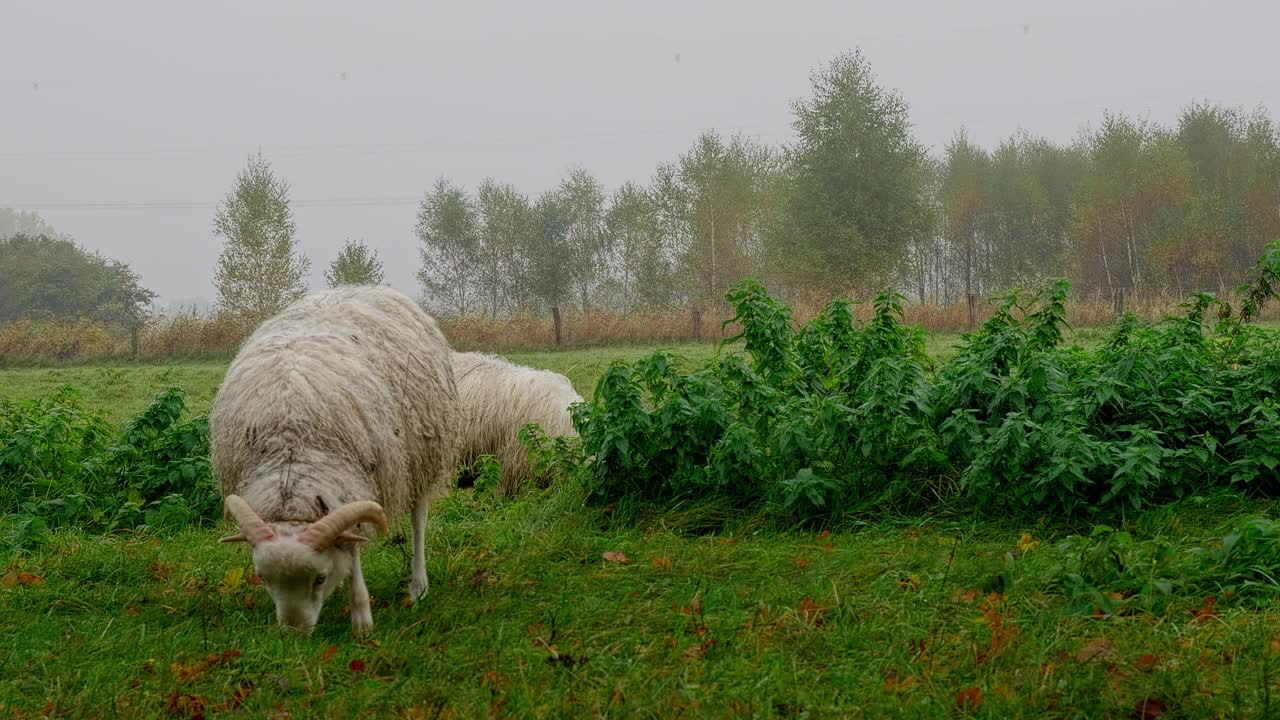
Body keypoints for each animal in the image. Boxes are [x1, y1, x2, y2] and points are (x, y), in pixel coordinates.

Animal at [206, 285, 455, 632]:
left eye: (320, 579)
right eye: (263, 578)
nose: (293, 634)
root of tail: (364, 287)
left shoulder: (353, 485)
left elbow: (353, 548)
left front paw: (362, 617)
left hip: (420, 457)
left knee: (419, 518)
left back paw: (418, 585)